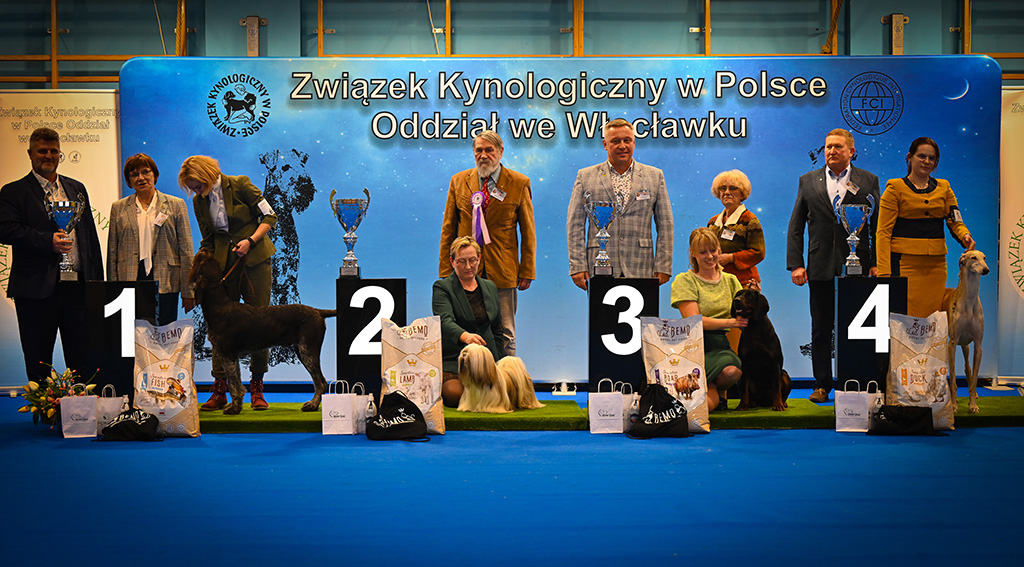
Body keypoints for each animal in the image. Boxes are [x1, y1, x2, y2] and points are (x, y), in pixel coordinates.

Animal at [188, 248, 335, 414]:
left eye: (202, 260)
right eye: (209, 259)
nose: (204, 249)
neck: (219, 304)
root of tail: (318, 311)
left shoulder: (227, 354)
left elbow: (233, 385)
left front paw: (234, 408)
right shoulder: (231, 356)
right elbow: (237, 383)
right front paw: (237, 405)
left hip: (308, 352)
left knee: (321, 382)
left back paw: (313, 405)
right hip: (302, 350)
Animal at [942, 250, 989, 414]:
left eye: (984, 258)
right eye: (973, 257)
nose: (986, 270)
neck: (969, 300)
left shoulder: (978, 345)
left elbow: (974, 379)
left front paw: (973, 405)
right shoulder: (952, 343)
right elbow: (953, 378)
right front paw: (953, 405)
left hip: (966, 345)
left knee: (967, 368)